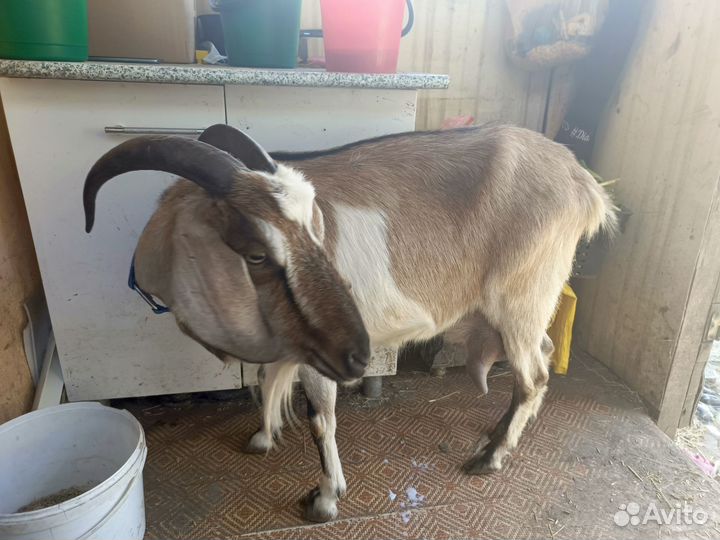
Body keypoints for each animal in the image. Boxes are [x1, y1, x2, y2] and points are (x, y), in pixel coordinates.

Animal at [84, 123, 616, 522]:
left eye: (316, 233)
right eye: (256, 254)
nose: (359, 355)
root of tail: (583, 183)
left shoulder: (318, 353)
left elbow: (321, 419)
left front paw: (324, 499)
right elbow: (263, 381)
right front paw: (262, 438)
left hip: (521, 297)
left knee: (535, 375)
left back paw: (489, 458)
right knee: (542, 356)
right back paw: (494, 434)